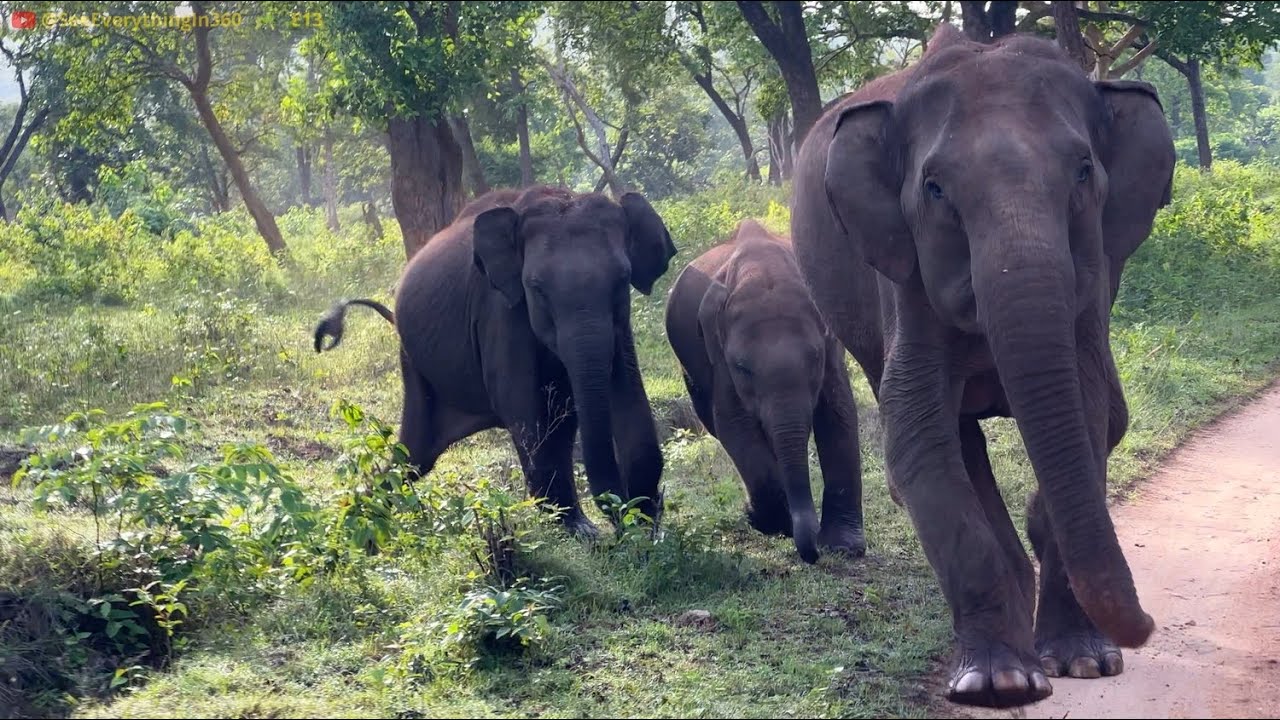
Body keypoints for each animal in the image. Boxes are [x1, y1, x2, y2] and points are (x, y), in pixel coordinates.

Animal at [313, 185, 679, 537]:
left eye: (622, 280)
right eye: (536, 288)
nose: (627, 512)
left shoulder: (619, 326)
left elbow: (629, 395)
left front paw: (641, 527)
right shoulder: (499, 310)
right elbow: (521, 408)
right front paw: (583, 533)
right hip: (414, 359)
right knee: (416, 454)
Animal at [664, 219, 866, 564]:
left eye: (814, 358)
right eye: (742, 367)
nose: (813, 552)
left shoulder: (830, 347)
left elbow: (838, 413)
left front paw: (845, 548)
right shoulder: (718, 356)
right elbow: (733, 423)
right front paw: (771, 523)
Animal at [790, 24, 1175, 708]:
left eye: (1083, 171)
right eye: (936, 189)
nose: (1148, 627)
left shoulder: (1095, 283)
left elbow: (1089, 412)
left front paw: (1084, 663)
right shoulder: (906, 281)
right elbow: (917, 435)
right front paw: (998, 684)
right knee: (952, 442)